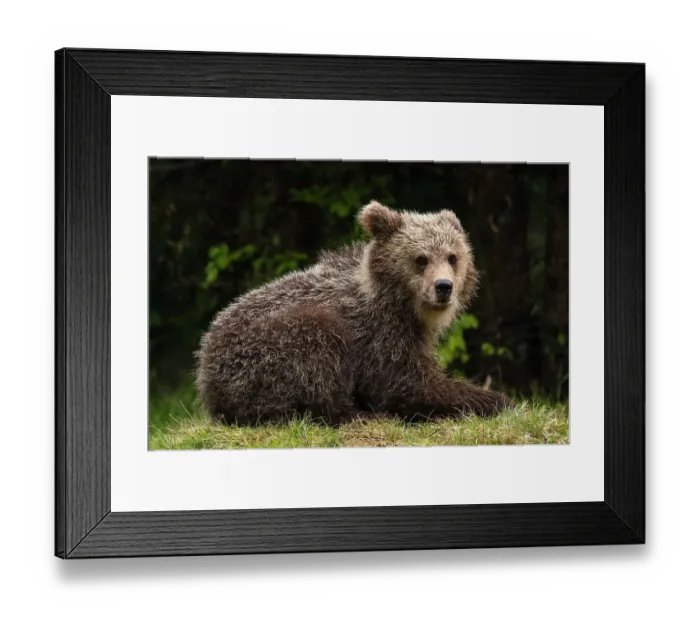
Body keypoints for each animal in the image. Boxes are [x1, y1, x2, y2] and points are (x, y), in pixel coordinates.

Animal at [195, 201, 513, 425]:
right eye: (421, 259)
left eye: (453, 257)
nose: (444, 287)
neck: (405, 307)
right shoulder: (380, 333)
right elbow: (405, 385)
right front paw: (498, 400)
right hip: (261, 353)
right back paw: (359, 414)